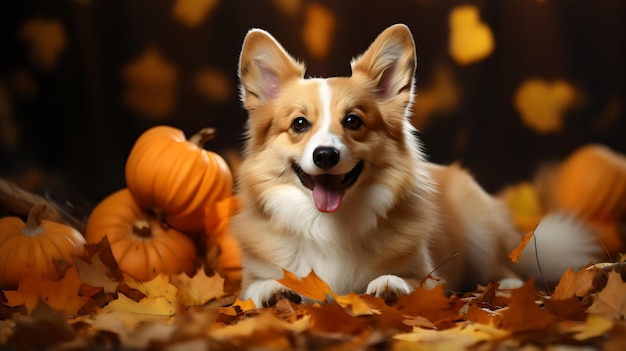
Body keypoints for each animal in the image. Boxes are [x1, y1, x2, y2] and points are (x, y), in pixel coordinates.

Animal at [230, 24, 604, 308]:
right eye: (299, 124)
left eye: (352, 121)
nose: (325, 156)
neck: (328, 225)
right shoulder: (250, 278)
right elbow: (256, 287)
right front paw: (276, 290)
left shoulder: (431, 276)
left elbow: (409, 279)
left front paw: (389, 284)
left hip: (480, 235)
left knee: (503, 264)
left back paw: (508, 286)